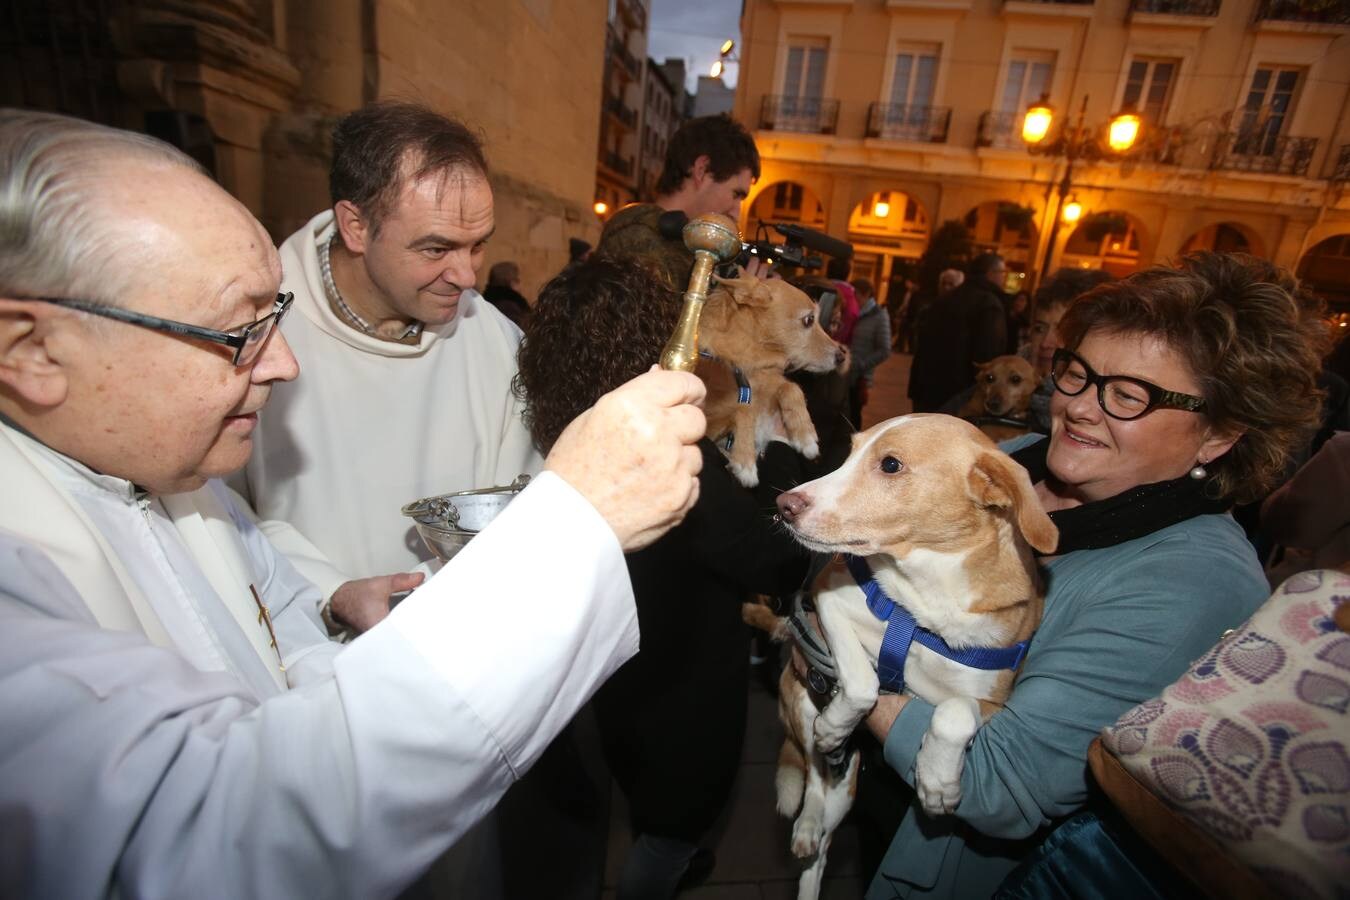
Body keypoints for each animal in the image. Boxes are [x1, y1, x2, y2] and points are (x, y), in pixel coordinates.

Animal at [750, 418, 1053, 900]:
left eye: (890, 464)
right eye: (850, 451)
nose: (785, 505)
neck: (928, 600)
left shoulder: (994, 703)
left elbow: (953, 712)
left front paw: (937, 779)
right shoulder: (829, 600)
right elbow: (862, 682)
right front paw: (836, 725)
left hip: (847, 784)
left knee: (823, 845)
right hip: (806, 716)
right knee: (815, 783)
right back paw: (810, 815)